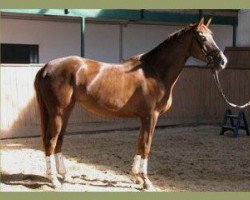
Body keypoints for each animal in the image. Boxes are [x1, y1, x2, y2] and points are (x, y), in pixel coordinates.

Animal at [34, 18, 228, 190]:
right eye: (202, 37)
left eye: (212, 34)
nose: (222, 61)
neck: (155, 72)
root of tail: (47, 67)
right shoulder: (151, 116)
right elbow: (146, 145)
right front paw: (146, 182)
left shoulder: (144, 117)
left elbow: (139, 143)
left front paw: (136, 177)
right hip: (58, 113)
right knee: (50, 141)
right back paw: (54, 181)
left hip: (66, 111)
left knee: (59, 140)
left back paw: (64, 175)